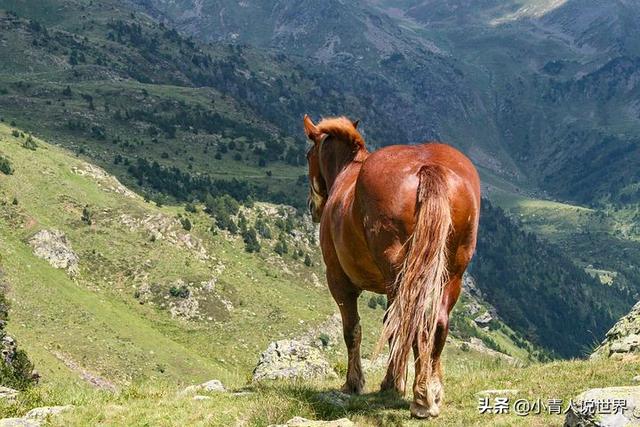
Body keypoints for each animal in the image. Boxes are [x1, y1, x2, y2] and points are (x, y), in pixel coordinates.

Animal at [304, 115, 480, 420]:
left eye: (307, 156)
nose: (313, 208)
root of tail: (428, 167)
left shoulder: (339, 281)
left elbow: (353, 330)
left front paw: (355, 383)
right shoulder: (390, 286)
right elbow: (392, 327)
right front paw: (395, 382)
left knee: (414, 322)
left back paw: (421, 398)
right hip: (450, 274)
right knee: (436, 323)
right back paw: (431, 391)